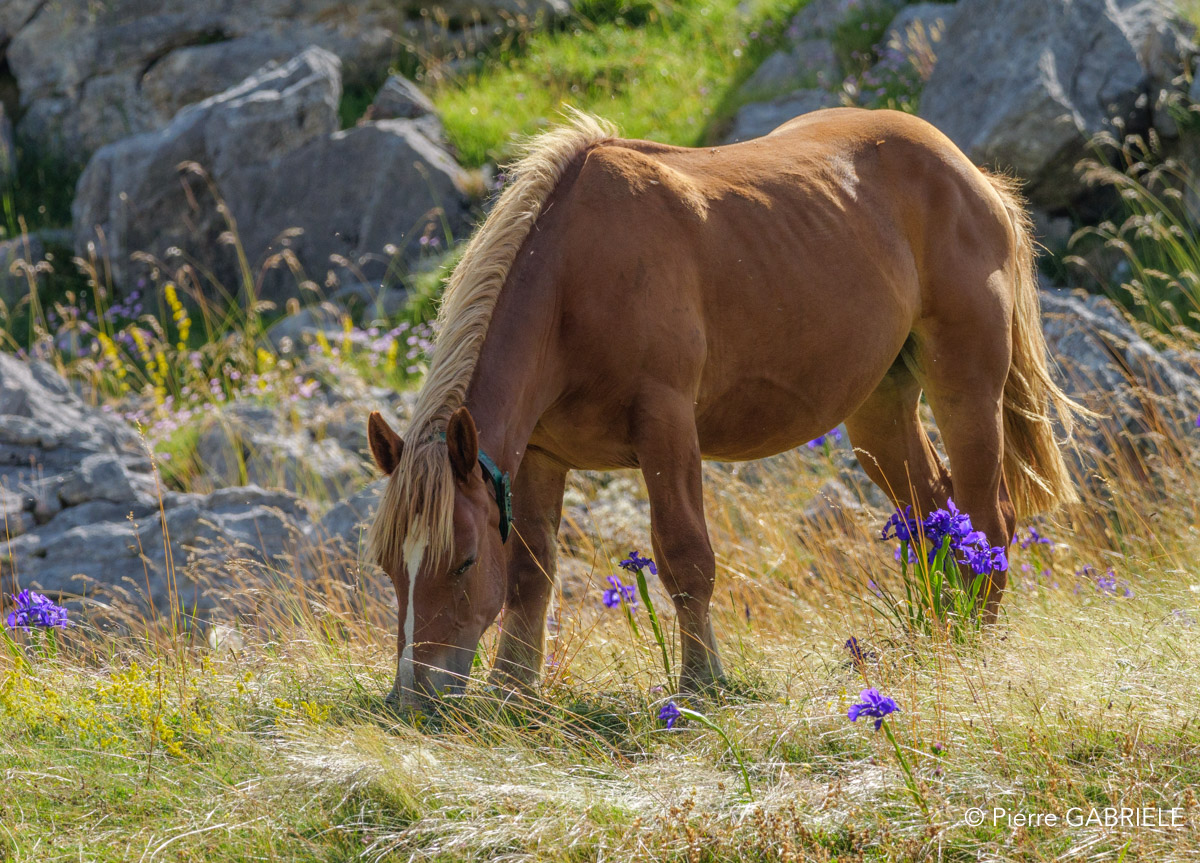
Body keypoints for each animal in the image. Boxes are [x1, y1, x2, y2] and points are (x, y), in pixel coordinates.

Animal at [365, 108, 1080, 708]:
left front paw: (702, 682)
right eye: (389, 566)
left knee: (988, 517)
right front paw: (513, 688)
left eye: (460, 561)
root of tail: (971, 175)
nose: (412, 697)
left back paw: (975, 641)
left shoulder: (667, 427)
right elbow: (528, 574)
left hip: (966, 387)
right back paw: (941, 633)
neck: (573, 285)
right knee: (934, 512)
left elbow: (686, 557)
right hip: (878, 409)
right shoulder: (540, 453)